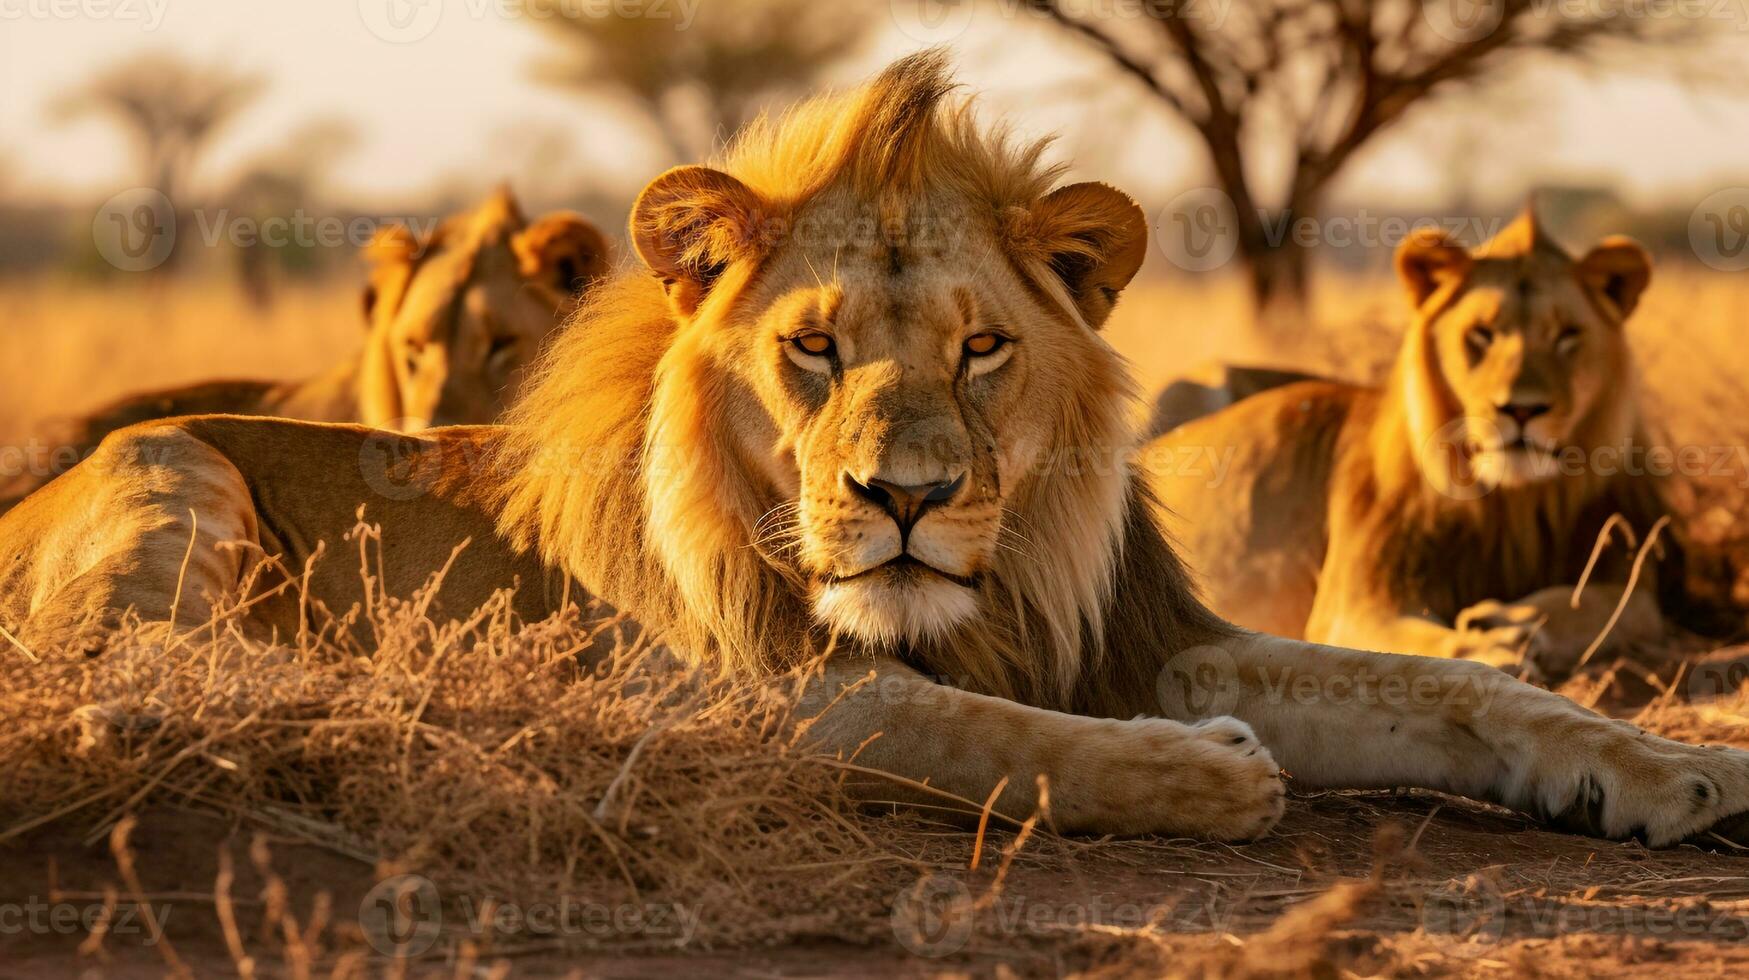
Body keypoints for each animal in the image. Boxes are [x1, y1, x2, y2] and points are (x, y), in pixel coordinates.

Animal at [1147, 210, 1679, 679]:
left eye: (1568, 335)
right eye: (1481, 334)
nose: (1522, 410)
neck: (1510, 504)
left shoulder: (1621, 564)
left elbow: (1619, 605)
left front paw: (1504, 620)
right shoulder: (1355, 605)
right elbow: (1434, 642)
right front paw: (1494, 649)